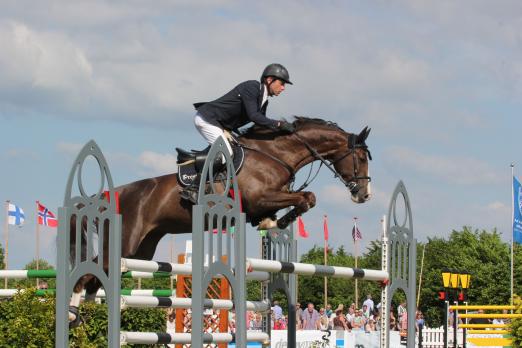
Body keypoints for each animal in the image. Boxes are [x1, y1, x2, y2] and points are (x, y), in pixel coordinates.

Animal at [69, 117, 372, 326]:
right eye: (360, 157)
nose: (364, 195)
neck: (276, 155)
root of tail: (114, 194)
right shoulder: (260, 197)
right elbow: (306, 198)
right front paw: (277, 222)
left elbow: (306, 198)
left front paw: (272, 222)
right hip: (124, 245)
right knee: (86, 275)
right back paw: (73, 315)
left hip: (140, 250)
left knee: (96, 280)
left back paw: (90, 316)